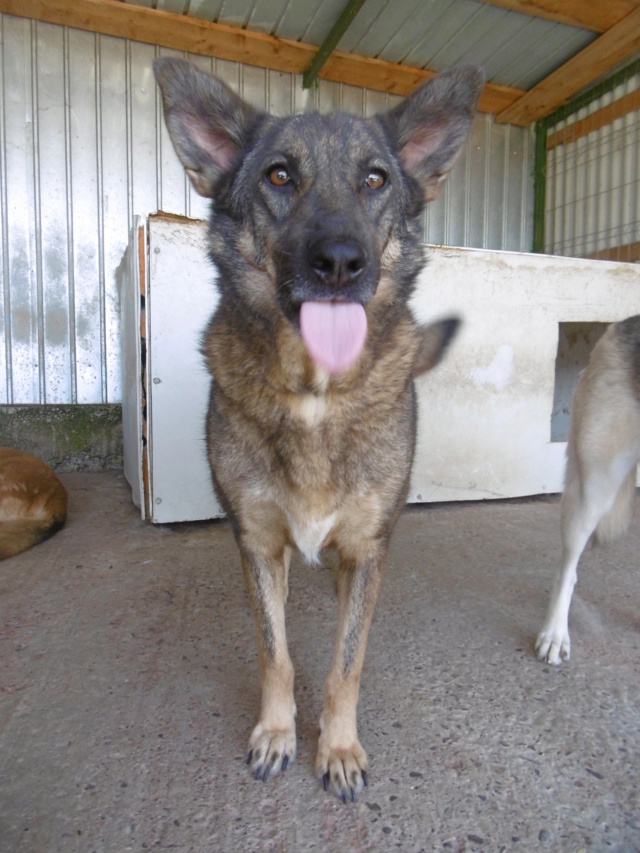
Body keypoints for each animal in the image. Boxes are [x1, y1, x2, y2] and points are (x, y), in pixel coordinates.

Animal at [155, 58, 482, 800]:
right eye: (279, 175)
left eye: (375, 179)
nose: (339, 263)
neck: (315, 393)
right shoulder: (255, 543)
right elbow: (274, 652)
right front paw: (277, 734)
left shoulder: (366, 548)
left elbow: (346, 662)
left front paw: (336, 747)